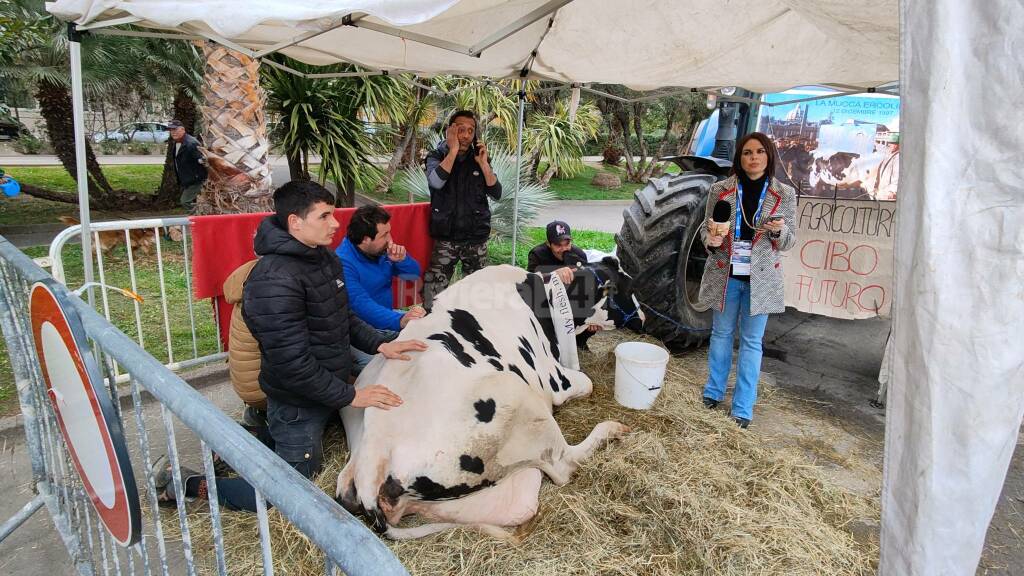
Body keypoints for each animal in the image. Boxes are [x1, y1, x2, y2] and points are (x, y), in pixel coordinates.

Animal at [335, 261, 643, 537]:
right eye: (629, 287)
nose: (644, 317)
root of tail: (374, 456)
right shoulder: (555, 380)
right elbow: (587, 383)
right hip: (517, 396)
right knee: (564, 464)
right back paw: (612, 429)